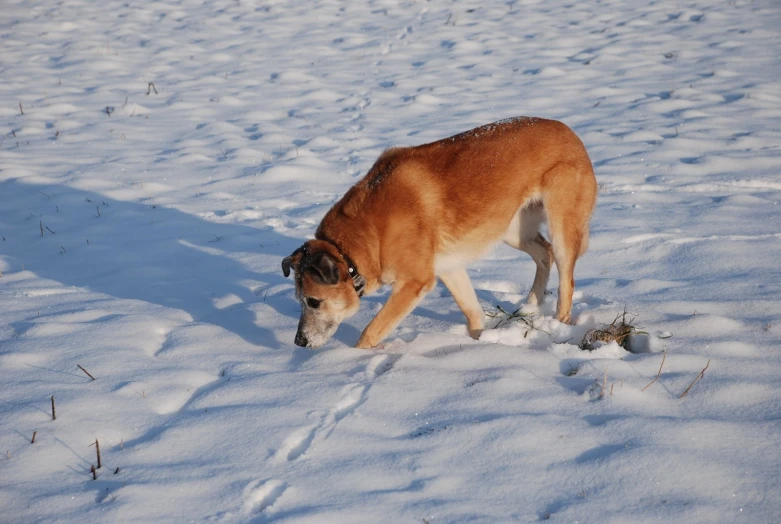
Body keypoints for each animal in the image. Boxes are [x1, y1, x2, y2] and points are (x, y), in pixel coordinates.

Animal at [284, 116, 596, 350]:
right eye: (299, 301)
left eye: (314, 302)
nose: (299, 342)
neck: (361, 238)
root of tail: (570, 132)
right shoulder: (449, 267)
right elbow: (472, 312)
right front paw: (480, 344)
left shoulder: (414, 283)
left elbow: (370, 332)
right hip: (511, 228)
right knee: (545, 252)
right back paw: (530, 306)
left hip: (560, 225)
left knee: (566, 279)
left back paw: (559, 325)